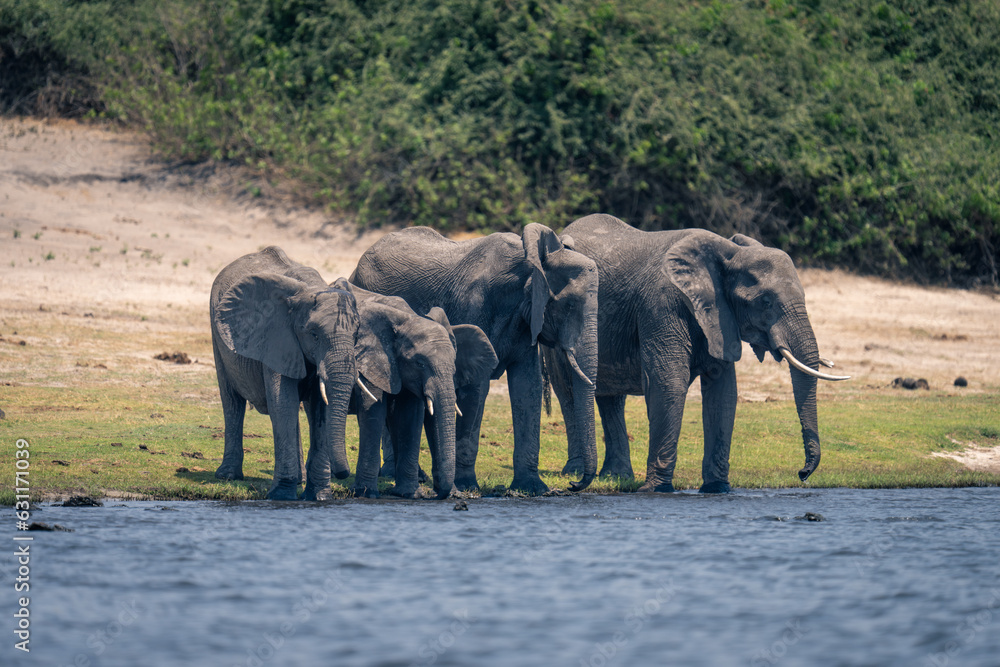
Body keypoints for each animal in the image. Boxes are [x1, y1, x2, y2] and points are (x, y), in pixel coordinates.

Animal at [210, 246, 370, 500]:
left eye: (356, 335)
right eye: (314, 334)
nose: (343, 474)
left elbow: (319, 408)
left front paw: (320, 497)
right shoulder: (276, 336)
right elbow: (282, 401)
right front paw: (281, 495)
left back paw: (300, 481)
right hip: (217, 334)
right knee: (232, 401)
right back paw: (228, 476)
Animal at [344, 283, 498, 499]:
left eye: (454, 365)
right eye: (419, 363)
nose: (442, 495)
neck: (406, 319)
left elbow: (410, 416)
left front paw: (410, 494)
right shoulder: (373, 359)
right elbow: (373, 409)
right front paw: (367, 494)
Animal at [544, 214, 849, 493]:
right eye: (766, 301)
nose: (802, 473)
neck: (729, 253)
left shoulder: (719, 317)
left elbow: (723, 391)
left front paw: (717, 488)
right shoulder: (661, 305)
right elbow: (669, 384)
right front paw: (656, 490)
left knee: (610, 398)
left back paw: (617, 477)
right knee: (569, 392)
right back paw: (575, 473)